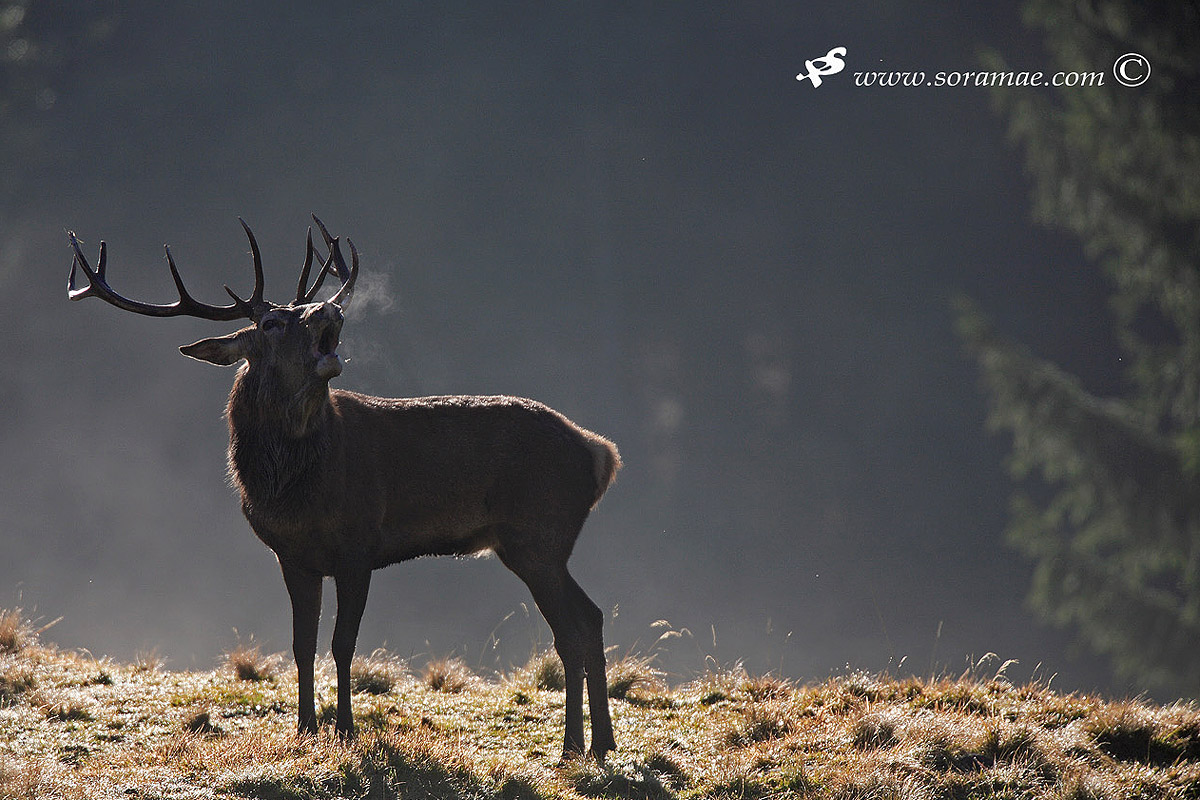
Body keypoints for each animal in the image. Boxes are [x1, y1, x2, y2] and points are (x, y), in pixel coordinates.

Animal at [66, 217, 620, 760]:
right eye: (270, 323)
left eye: (298, 313)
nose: (325, 308)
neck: (295, 490)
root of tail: (600, 452)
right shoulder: (292, 556)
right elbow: (301, 644)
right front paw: (305, 729)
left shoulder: (359, 544)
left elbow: (343, 642)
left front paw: (347, 730)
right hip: (537, 545)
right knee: (590, 619)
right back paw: (601, 742)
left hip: (538, 536)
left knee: (571, 631)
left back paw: (574, 746)